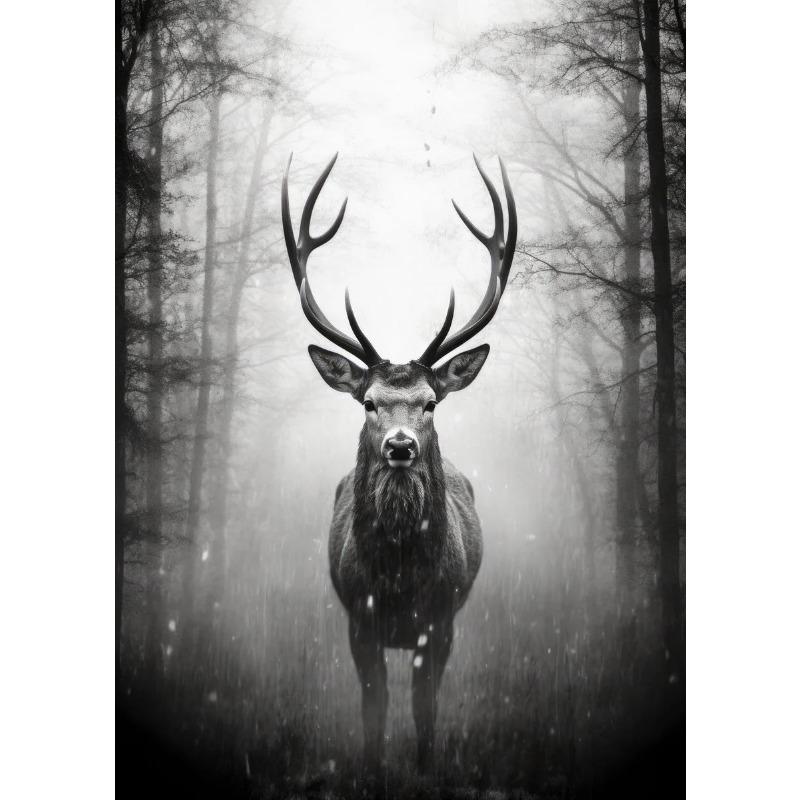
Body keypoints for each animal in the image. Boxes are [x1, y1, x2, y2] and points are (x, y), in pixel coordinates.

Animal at [281, 153, 516, 775]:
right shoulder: (359, 620)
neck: (400, 581)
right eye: (368, 402)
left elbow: (424, 703)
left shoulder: (441, 620)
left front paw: (426, 765)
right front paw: (371, 768)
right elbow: (375, 704)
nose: (401, 445)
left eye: (430, 402)